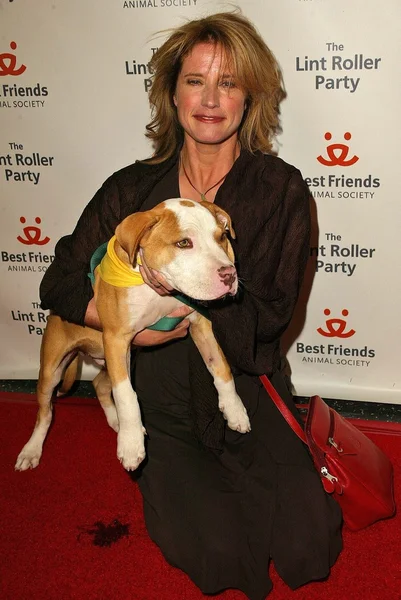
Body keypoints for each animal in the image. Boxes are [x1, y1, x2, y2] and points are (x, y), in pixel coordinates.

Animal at [17, 200, 252, 474]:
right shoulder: (117, 339)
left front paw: (235, 409)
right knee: (45, 413)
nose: (229, 275)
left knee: (99, 384)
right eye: (184, 243)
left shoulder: (200, 325)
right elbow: (126, 395)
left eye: (222, 237)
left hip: (115, 360)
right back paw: (32, 450)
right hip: (54, 369)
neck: (159, 291)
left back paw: (115, 421)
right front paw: (131, 444)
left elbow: (220, 366)